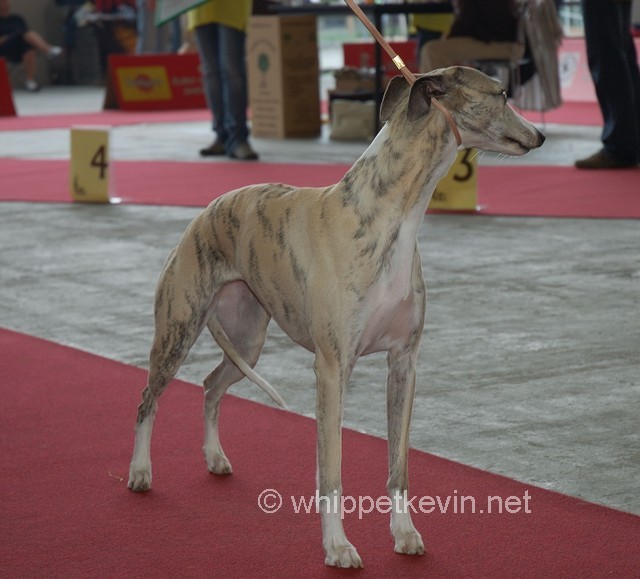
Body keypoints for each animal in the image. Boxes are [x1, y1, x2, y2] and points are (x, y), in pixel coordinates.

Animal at [129, 67, 544, 568]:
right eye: (501, 94)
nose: (540, 135)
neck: (388, 218)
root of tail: (208, 211)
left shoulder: (404, 364)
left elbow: (399, 465)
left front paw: (404, 534)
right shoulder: (332, 368)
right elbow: (331, 470)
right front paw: (338, 546)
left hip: (247, 340)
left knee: (210, 386)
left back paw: (214, 458)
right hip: (177, 330)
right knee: (148, 400)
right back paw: (140, 472)